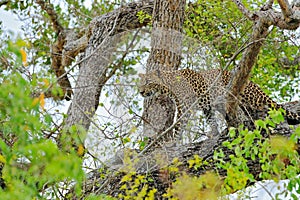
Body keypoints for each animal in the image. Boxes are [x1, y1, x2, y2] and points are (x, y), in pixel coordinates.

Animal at [138, 69, 300, 142]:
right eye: (139, 84)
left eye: (148, 82)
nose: (140, 92)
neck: (167, 86)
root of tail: (253, 83)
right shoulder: (207, 107)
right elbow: (211, 120)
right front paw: (215, 133)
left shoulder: (185, 107)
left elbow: (178, 126)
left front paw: (174, 142)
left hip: (247, 96)